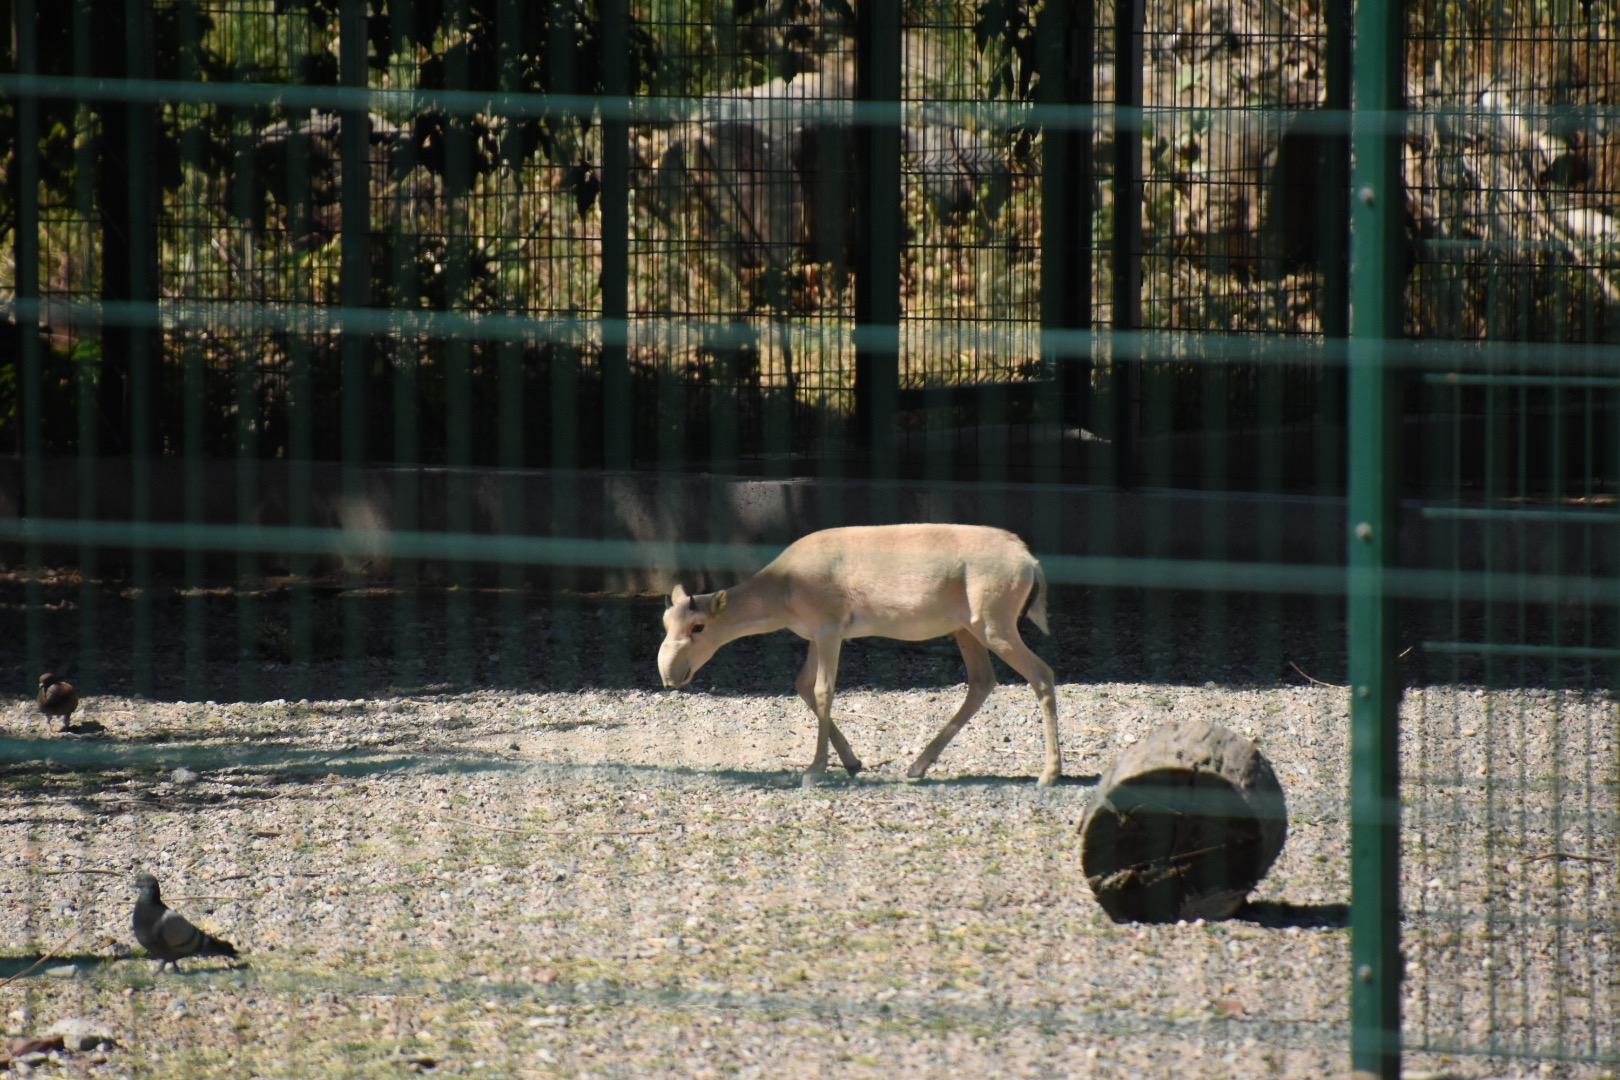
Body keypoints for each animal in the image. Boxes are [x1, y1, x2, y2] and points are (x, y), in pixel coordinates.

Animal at [657, 524, 1062, 788]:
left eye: (698, 626)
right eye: (665, 620)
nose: (669, 674)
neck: (785, 585)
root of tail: (1029, 559)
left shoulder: (829, 630)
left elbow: (823, 691)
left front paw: (814, 771)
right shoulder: (814, 636)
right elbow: (802, 685)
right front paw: (852, 762)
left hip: (994, 627)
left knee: (1042, 675)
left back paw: (1049, 774)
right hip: (967, 631)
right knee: (981, 683)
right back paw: (918, 766)